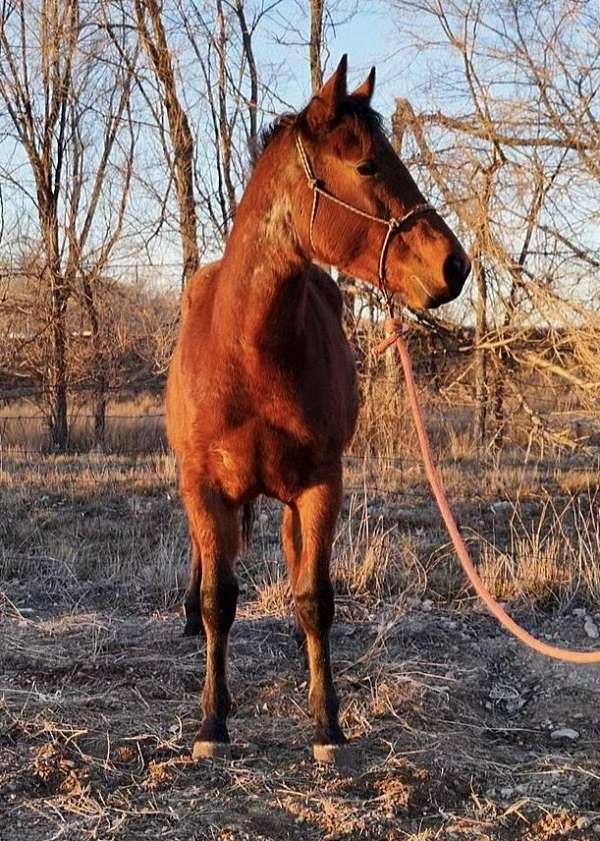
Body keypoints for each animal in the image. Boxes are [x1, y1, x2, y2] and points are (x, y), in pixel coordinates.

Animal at [165, 56, 471, 761]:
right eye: (368, 166)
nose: (454, 265)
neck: (248, 352)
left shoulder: (320, 485)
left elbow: (314, 598)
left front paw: (325, 721)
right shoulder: (203, 485)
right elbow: (220, 598)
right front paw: (212, 722)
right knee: (209, 565)